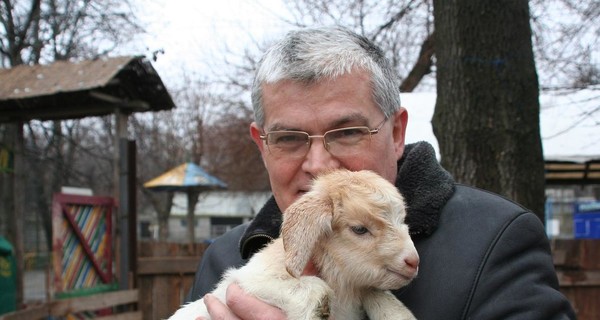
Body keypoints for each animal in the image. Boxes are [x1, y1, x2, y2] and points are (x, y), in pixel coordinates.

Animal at [169, 169, 418, 318]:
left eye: (403, 221)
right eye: (359, 229)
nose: (413, 262)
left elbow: (379, 297)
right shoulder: (246, 282)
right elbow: (305, 289)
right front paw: (320, 307)